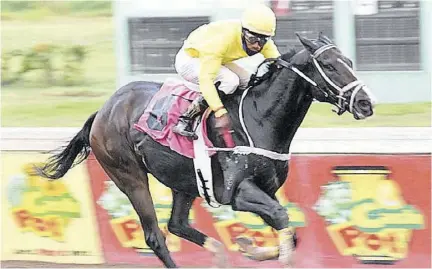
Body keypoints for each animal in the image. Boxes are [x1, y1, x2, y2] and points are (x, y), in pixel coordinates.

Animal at [37, 33, 374, 266]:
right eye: (328, 65)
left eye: (350, 62)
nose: (365, 103)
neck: (259, 117)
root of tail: (103, 110)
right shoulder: (238, 193)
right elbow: (281, 219)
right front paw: (257, 248)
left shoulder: (266, 188)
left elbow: (291, 230)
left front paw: (249, 246)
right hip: (129, 177)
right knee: (155, 236)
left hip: (184, 181)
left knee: (176, 224)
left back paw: (220, 253)